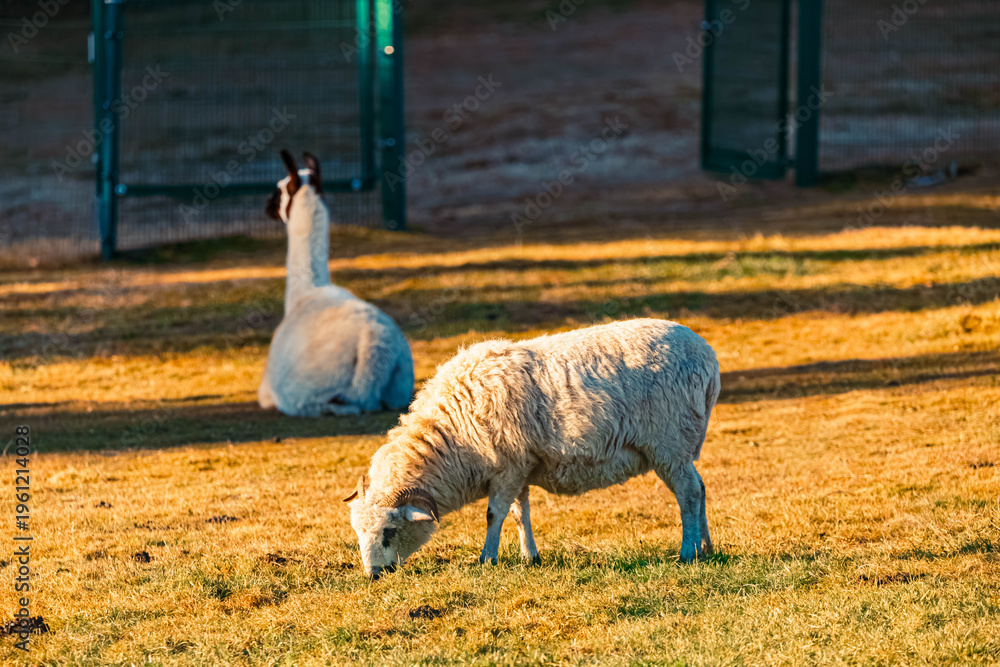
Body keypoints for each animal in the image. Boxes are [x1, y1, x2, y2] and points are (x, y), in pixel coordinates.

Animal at [257, 150, 414, 417]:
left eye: (278, 190)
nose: (266, 206)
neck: (305, 293)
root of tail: (374, 343)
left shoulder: (268, 391)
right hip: (401, 387)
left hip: (306, 391)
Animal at [344, 318, 721, 578]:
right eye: (359, 532)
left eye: (389, 531)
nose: (373, 575)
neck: (453, 433)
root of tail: (708, 357)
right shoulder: (519, 466)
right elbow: (519, 513)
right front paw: (530, 556)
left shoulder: (506, 468)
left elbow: (494, 515)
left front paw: (487, 558)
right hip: (679, 446)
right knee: (700, 488)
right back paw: (706, 546)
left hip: (669, 442)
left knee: (687, 493)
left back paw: (688, 551)